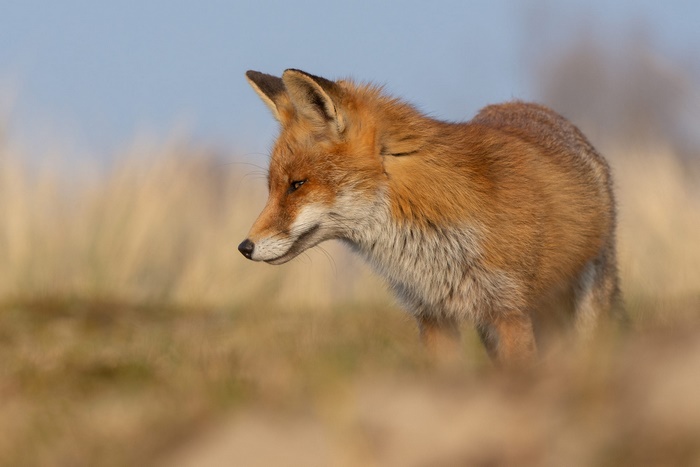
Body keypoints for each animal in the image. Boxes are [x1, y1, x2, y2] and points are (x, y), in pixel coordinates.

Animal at [238, 68, 623, 365]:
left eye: (297, 185)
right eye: (272, 187)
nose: (245, 247)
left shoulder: (508, 310)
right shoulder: (434, 315)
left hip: (585, 306)